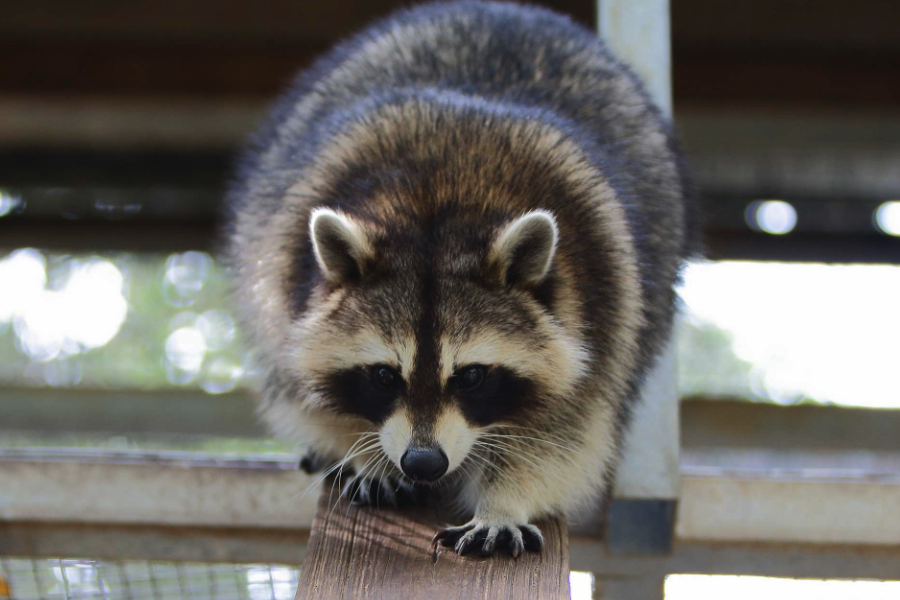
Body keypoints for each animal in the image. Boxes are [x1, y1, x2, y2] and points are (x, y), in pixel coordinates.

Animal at [223, 2, 696, 560]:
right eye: (383, 375)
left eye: (471, 376)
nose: (423, 463)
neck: (437, 208)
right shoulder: (284, 284)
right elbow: (304, 390)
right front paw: (360, 449)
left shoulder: (602, 307)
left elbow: (565, 438)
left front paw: (504, 502)